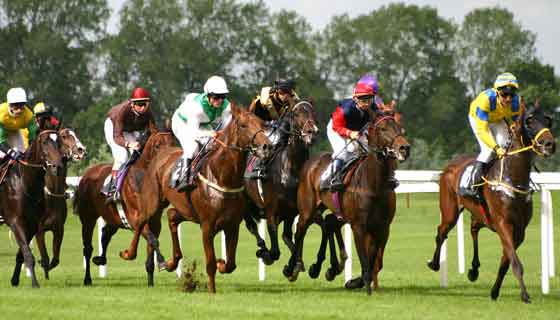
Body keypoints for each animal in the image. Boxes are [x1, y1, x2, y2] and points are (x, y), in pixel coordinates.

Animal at [0, 129, 64, 288]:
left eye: (59, 141)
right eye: (44, 142)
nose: (58, 167)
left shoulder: (33, 224)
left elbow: (21, 254)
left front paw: (14, 280)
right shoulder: (16, 222)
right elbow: (28, 254)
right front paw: (35, 283)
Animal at [74, 127, 175, 284]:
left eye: (173, 143)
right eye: (158, 146)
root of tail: (87, 173)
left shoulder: (154, 221)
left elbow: (152, 245)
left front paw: (151, 282)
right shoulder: (135, 219)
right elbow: (153, 240)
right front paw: (163, 262)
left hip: (113, 218)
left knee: (105, 234)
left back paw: (100, 259)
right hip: (88, 218)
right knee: (88, 248)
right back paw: (87, 279)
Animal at [139, 105, 272, 292]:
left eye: (261, 123)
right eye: (244, 125)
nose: (267, 146)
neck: (222, 177)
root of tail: (161, 155)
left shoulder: (232, 225)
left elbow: (231, 264)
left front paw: (221, 262)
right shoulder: (207, 226)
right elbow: (210, 263)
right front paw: (212, 291)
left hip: (186, 210)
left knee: (172, 216)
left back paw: (171, 262)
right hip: (153, 204)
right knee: (145, 224)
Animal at [282, 110, 410, 296]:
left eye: (400, 128)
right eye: (383, 128)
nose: (404, 148)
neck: (374, 184)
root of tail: (310, 163)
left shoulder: (383, 227)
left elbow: (374, 261)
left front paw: (355, 282)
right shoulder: (359, 226)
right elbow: (365, 259)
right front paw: (364, 286)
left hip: (337, 212)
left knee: (328, 223)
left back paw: (325, 267)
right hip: (307, 209)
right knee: (300, 231)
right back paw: (292, 268)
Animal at [428, 102, 556, 302]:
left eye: (548, 120)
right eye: (529, 121)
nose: (550, 144)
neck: (512, 178)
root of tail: (450, 165)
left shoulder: (519, 229)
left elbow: (506, 260)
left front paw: (495, 291)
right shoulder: (503, 223)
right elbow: (515, 262)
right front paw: (525, 295)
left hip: (480, 214)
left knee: (473, 228)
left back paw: (473, 269)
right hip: (450, 211)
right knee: (442, 231)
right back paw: (434, 263)